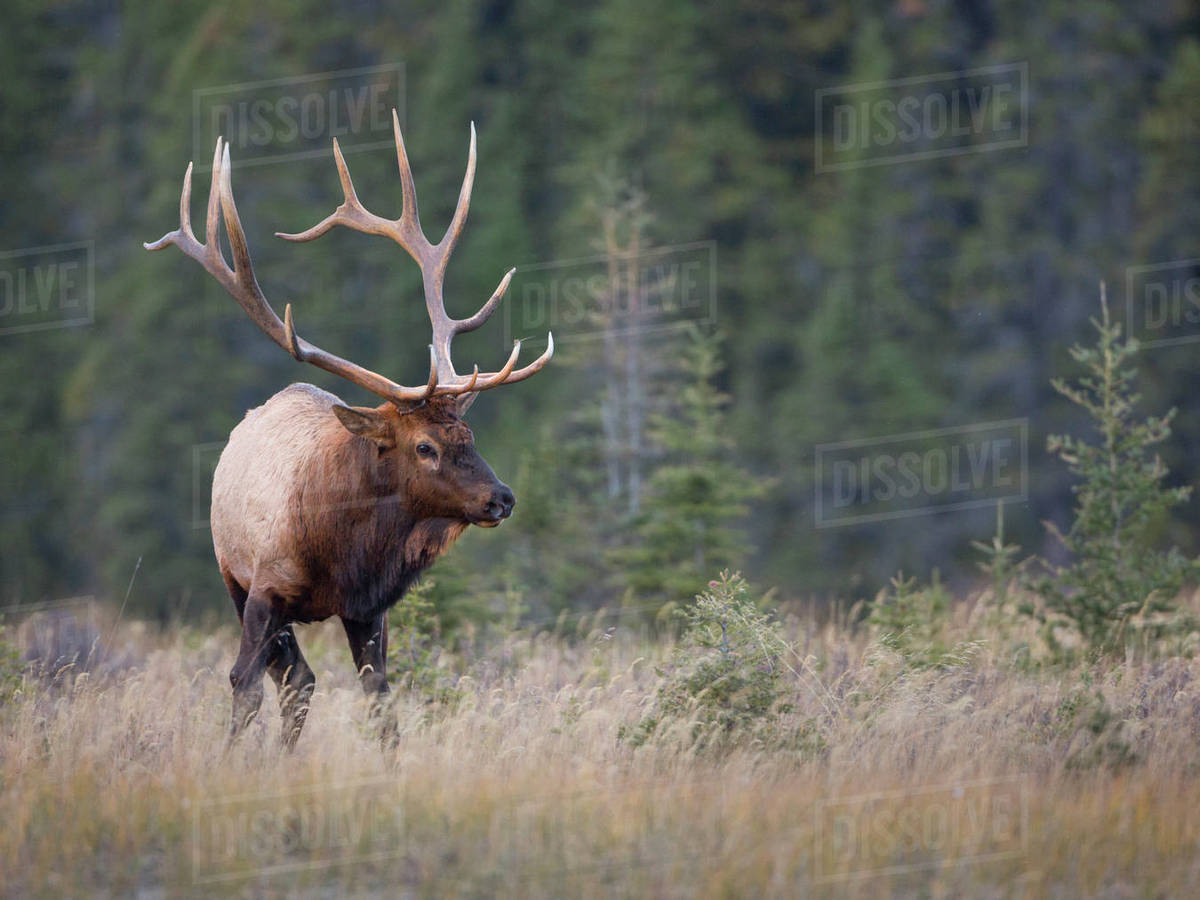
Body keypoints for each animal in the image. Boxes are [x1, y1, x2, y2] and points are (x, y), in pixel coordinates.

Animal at [145, 110, 552, 747]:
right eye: (425, 446)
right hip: (232, 576)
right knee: (288, 679)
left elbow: (380, 702)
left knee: (302, 681)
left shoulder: (368, 608)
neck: (340, 549)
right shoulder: (263, 588)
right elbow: (243, 685)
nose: (502, 498)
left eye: (470, 438)